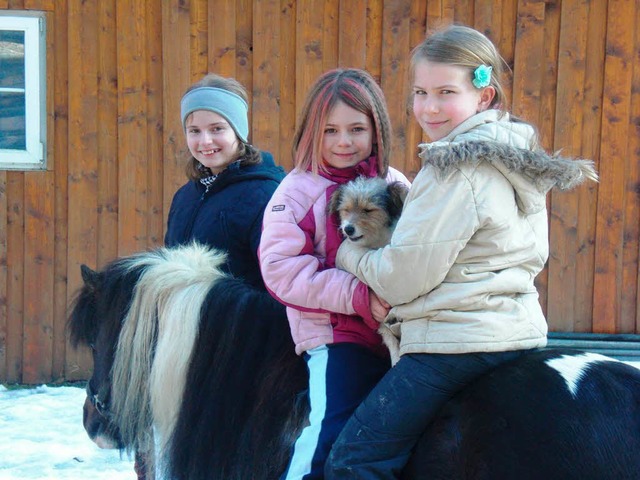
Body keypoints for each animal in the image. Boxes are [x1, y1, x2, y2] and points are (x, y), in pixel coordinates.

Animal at [328, 177, 408, 364]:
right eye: (346, 209)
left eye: (368, 210)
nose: (348, 229)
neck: (376, 243)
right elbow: (388, 336)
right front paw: (396, 358)